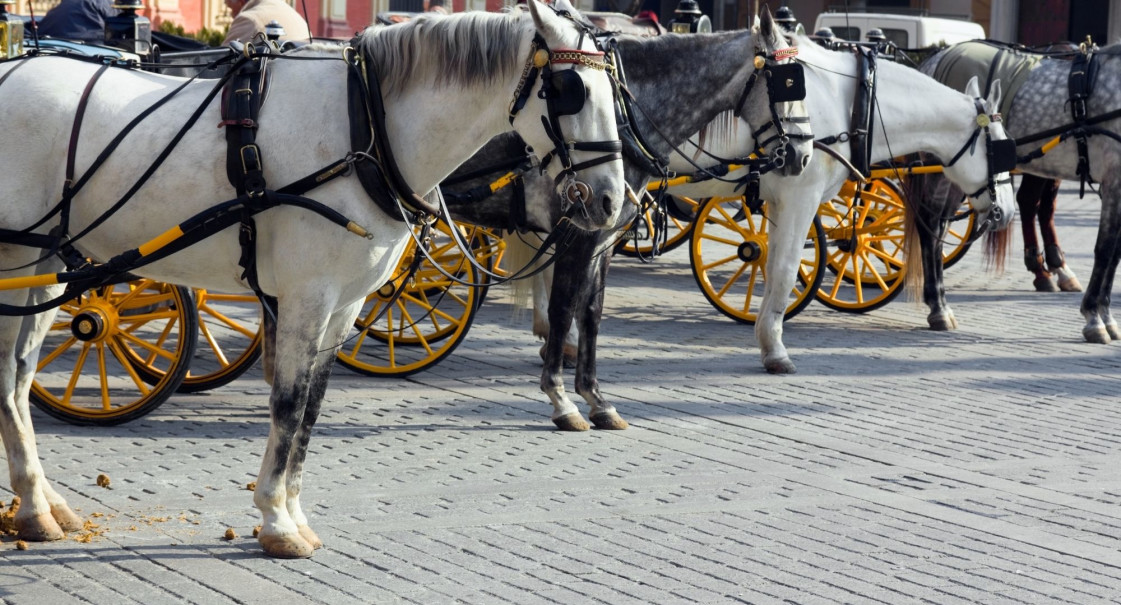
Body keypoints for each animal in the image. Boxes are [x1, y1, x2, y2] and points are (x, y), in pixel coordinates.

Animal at [0, 1, 627, 557]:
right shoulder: (306, 297)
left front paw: (293, 513)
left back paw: (43, 507)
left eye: (615, 92)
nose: (609, 200)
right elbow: (288, 402)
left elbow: (311, 409)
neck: (366, 127)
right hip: (16, 259)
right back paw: (33, 507)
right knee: (9, 380)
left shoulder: (344, 304)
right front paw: (277, 522)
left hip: (49, 268)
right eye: (568, 88)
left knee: (20, 379)